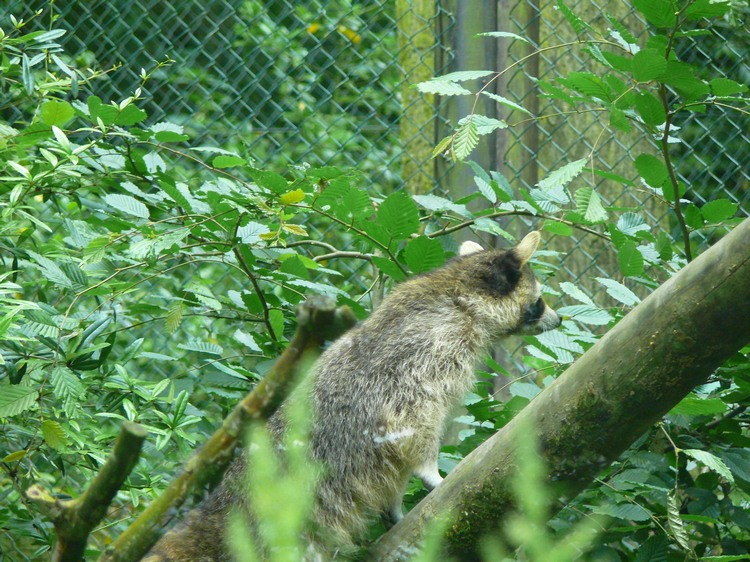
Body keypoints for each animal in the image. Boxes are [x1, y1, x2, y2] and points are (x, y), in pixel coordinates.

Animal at [144, 230, 560, 556]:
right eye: (539, 301)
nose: (559, 319)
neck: (458, 291)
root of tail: (230, 498)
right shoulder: (427, 352)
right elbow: (410, 423)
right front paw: (430, 471)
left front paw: (396, 503)